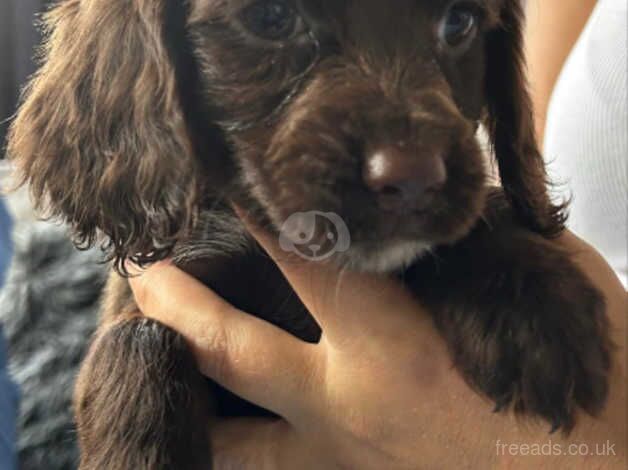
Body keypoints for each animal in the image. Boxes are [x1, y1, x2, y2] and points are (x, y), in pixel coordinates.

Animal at [7, 0, 612, 468]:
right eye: (272, 17)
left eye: (459, 22)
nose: (413, 180)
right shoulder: (149, 288)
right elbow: (137, 341)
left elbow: (478, 211)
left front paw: (532, 304)